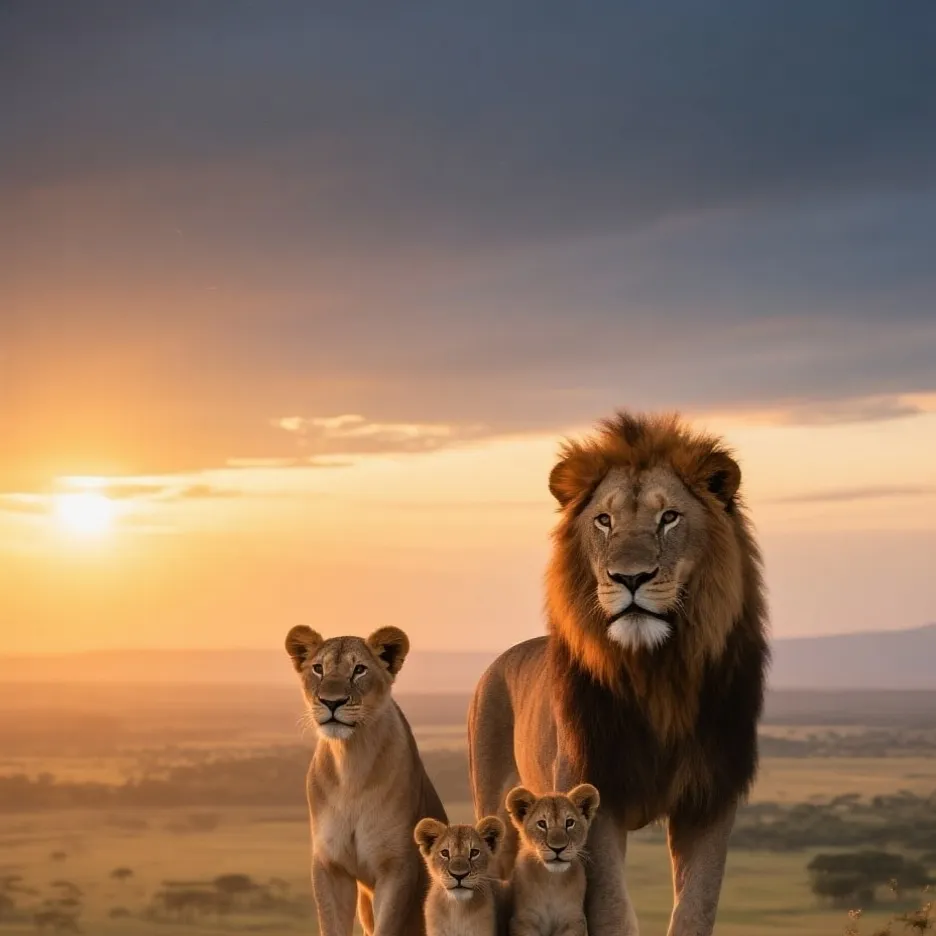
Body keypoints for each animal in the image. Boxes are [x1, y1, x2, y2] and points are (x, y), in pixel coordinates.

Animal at [286, 625, 448, 936]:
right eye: (318, 669)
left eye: (359, 669)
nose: (331, 702)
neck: (351, 762)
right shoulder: (331, 866)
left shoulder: (396, 866)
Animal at [506, 784, 599, 936]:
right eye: (542, 824)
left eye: (569, 823)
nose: (558, 848)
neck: (552, 880)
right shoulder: (523, 920)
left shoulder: (573, 920)